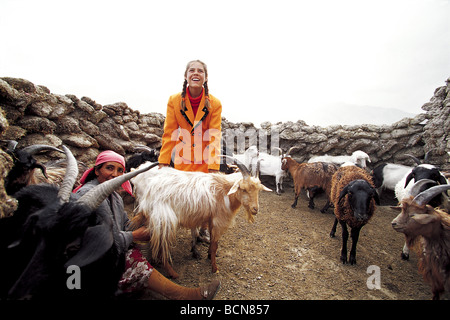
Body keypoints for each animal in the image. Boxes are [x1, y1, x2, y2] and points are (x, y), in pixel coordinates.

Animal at [130, 158, 270, 278]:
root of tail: (149, 193)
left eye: (258, 190)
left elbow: (211, 242)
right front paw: (214, 268)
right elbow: (214, 245)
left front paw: (207, 254)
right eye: (243, 189)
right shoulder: (218, 221)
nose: (255, 209)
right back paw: (172, 273)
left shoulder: (210, 219)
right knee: (160, 246)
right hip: (164, 219)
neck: (224, 189)